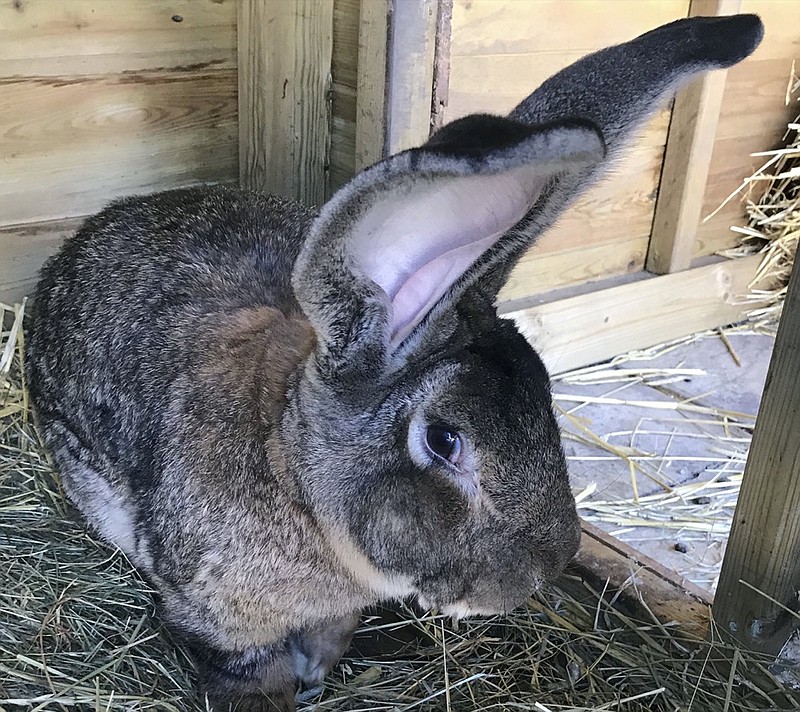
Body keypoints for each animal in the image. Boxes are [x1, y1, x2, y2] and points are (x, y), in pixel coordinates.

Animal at [25, 12, 764, 712]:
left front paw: (318, 673)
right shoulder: (218, 619)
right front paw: (287, 690)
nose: (540, 573)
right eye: (444, 440)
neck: (292, 471)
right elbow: (248, 673)